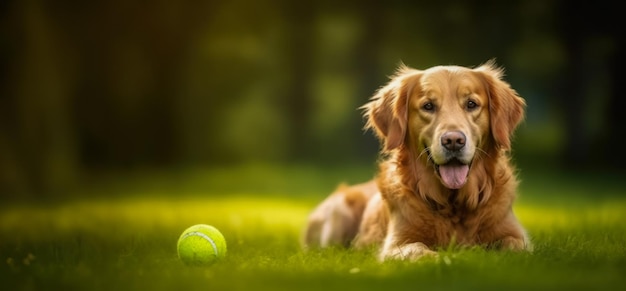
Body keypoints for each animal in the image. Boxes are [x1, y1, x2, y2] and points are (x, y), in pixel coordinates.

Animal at [302, 61, 532, 262]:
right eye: (428, 106)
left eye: (471, 104)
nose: (453, 141)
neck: (453, 204)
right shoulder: (395, 244)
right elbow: (418, 249)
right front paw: (445, 258)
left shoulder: (519, 236)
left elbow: (514, 245)